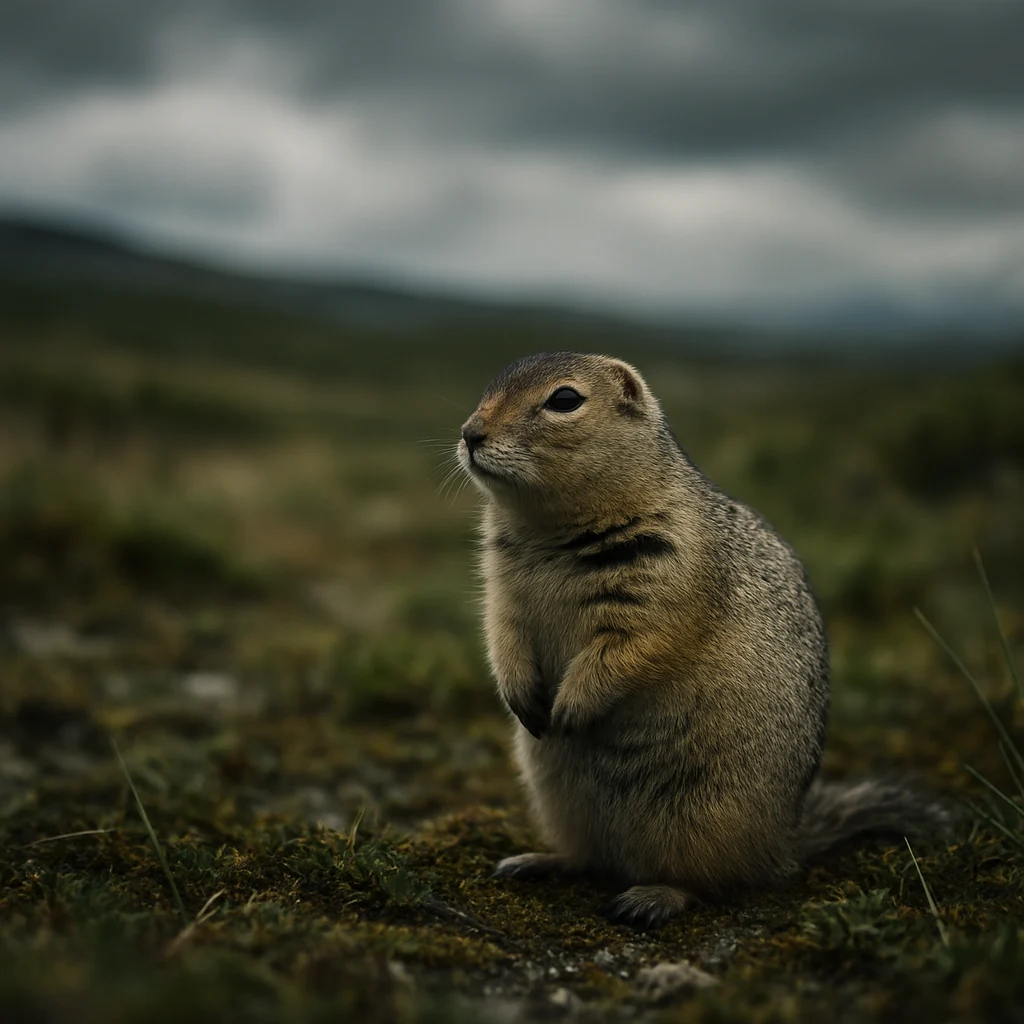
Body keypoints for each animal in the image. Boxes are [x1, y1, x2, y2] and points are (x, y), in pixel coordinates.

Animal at [457, 351, 949, 927]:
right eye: (489, 385)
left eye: (564, 399)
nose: (470, 433)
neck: (550, 528)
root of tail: (784, 842)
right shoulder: (501, 587)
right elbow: (501, 633)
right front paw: (523, 700)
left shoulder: (669, 574)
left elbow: (633, 645)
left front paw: (570, 708)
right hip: (557, 798)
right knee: (589, 856)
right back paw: (536, 861)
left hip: (702, 817)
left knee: (709, 881)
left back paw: (651, 897)